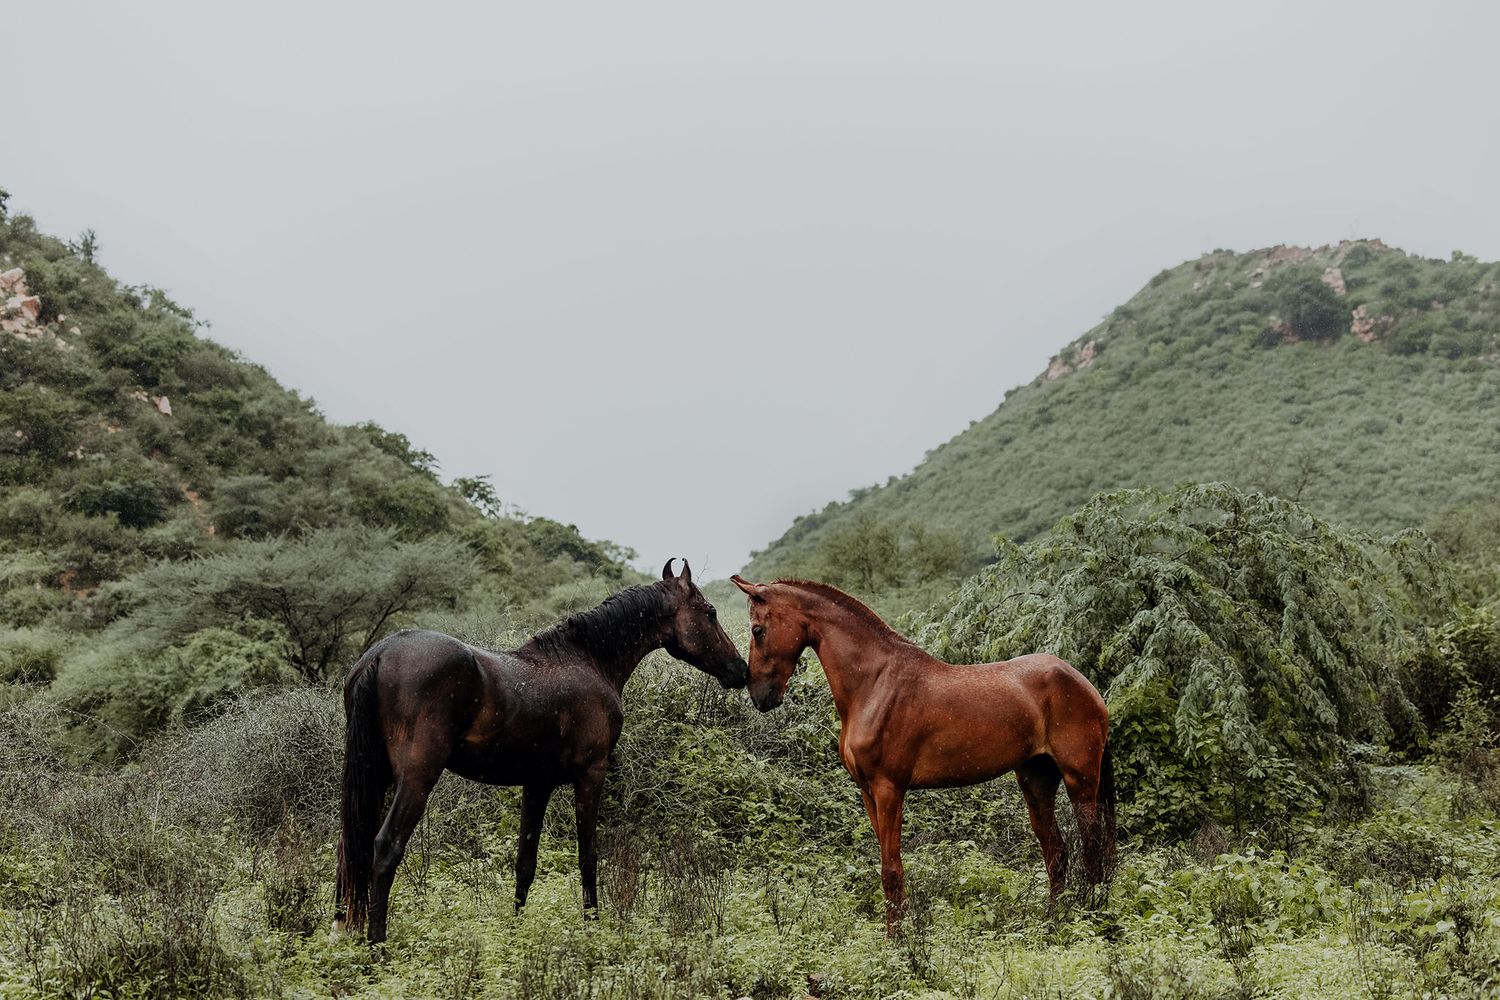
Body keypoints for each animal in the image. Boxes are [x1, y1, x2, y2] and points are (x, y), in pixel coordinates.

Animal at [335, 559, 747, 943]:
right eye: (710, 612)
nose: (740, 670)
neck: (588, 660)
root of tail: (379, 654)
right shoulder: (591, 775)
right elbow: (588, 857)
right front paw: (592, 924)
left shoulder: (537, 784)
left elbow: (525, 862)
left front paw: (515, 932)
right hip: (416, 779)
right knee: (385, 848)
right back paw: (377, 945)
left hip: (375, 779)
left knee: (349, 849)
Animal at [729, 575, 1114, 935]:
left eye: (758, 629)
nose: (759, 695)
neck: (875, 685)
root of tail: (1085, 684)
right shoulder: (868, 793)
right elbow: (888, 866)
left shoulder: (889, 790)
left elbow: (891, 871)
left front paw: (897, 943)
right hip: (1036, 780)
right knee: (1056, 852)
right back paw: (1054, 919)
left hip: (1080, 781)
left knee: (1092, 849)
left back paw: (1089, 915)